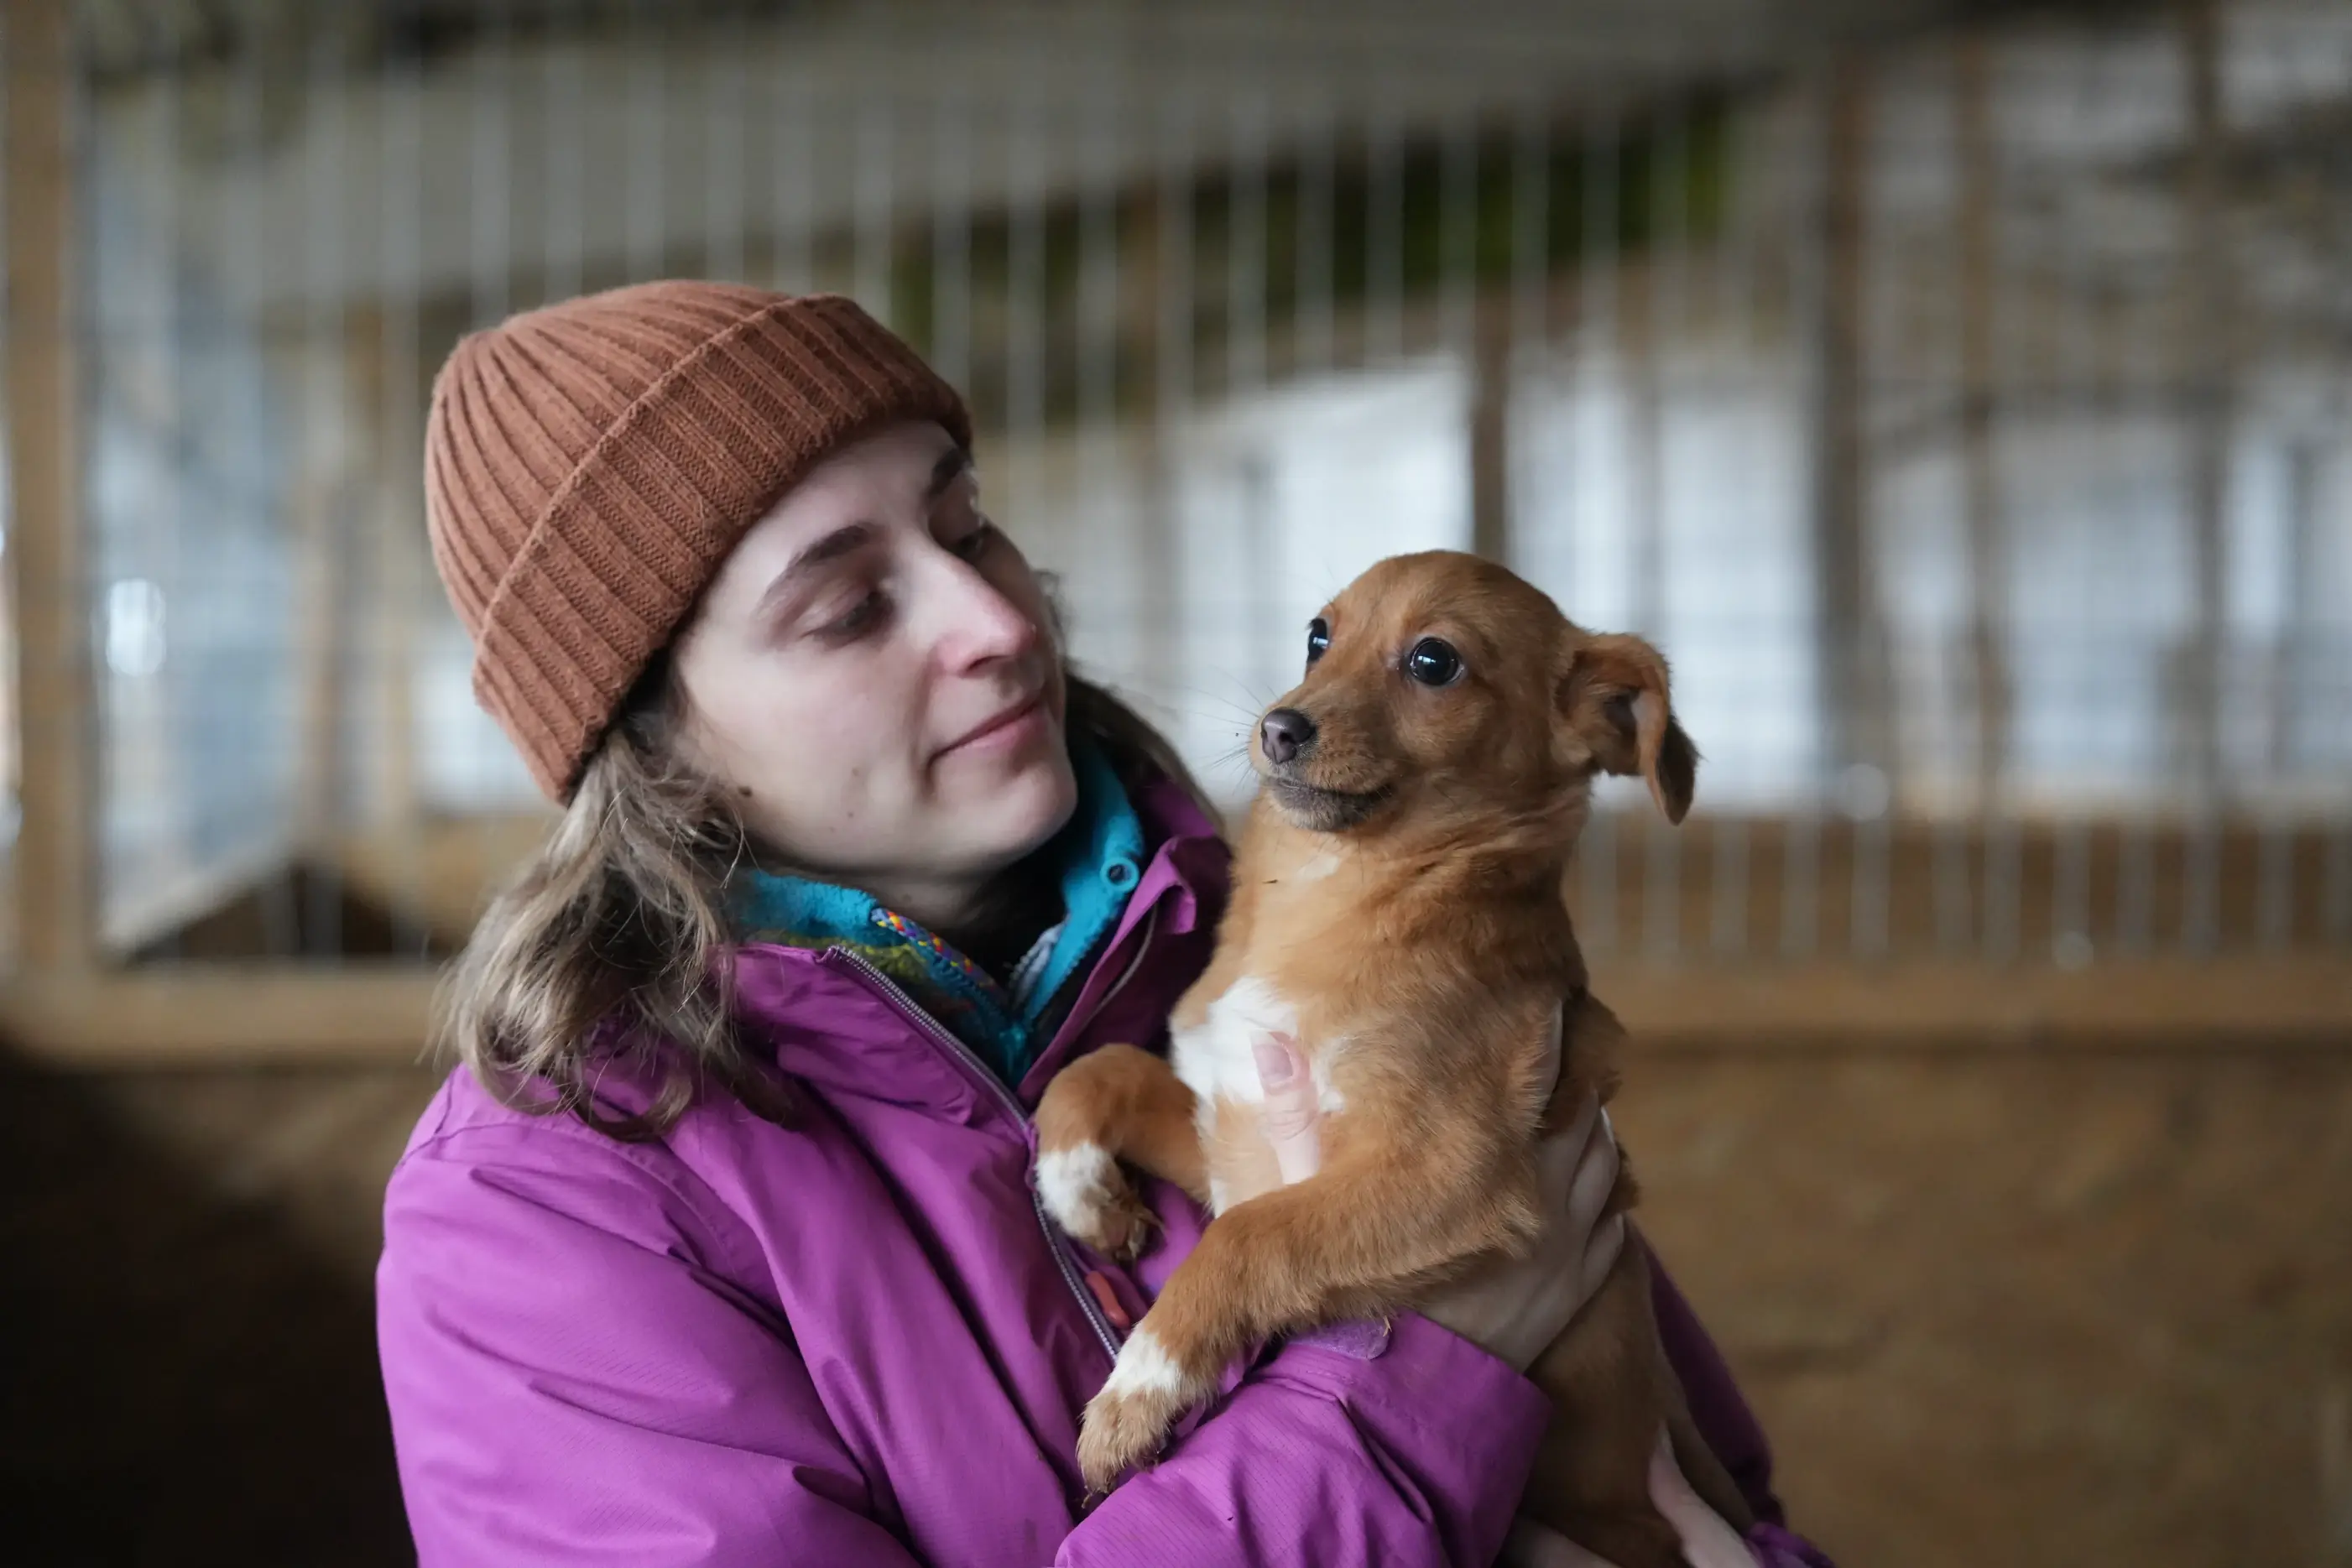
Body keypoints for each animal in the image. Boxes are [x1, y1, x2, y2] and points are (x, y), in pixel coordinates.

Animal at [1034, 550, 1753, 1566]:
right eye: (1316, 636)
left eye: (1432, 662)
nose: (1278, 726)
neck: (1332, 894)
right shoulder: (1231, 1136)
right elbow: (1101, 1068)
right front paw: (1084, 1198)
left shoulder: (1455, 1173)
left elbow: (1243, 1239)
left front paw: (1139, 1390)